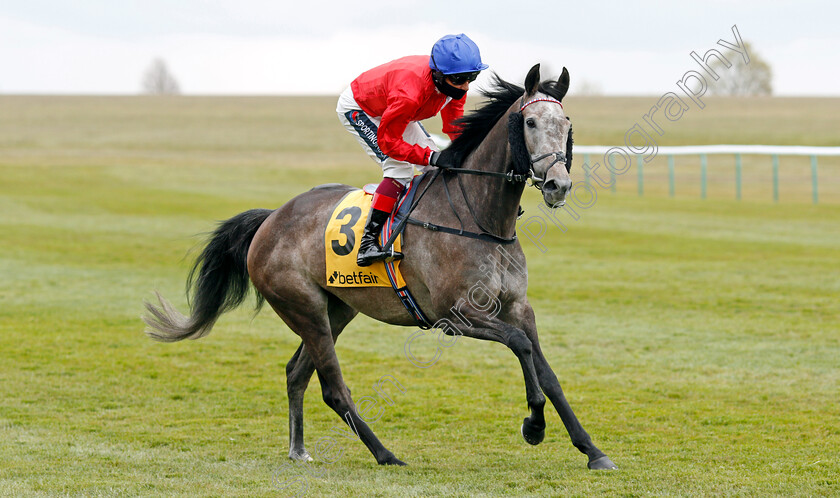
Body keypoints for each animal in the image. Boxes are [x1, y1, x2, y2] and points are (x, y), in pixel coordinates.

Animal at [144, 63, 616, 470]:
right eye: (530, 123)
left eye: (566, 122)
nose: (558, 184)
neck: (479, 218)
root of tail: (271, 218)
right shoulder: (455, 316)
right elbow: (520, 346)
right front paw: (533, 425)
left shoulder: (518, 306)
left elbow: (548, 373)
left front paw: (592, 450)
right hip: (304, 307)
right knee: (333, 388)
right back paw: (386, 454)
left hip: (337, 308)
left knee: (297, 373)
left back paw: (299, 449)